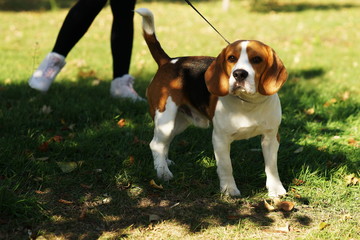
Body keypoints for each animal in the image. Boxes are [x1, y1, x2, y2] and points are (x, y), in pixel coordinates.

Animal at [136, 8, 288, 198]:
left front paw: (276, 189)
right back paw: (163, 172)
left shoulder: (270, 137)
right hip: (165, 119)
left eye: (257, 59)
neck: (248, 104)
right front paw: (229, 190)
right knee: (155, 144)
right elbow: (226, 166)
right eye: (231, 58)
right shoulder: (220, 139)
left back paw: (166, 162)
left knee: (163, 144)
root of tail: (169, 61)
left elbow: (272, 167)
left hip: (179, 123)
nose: (239, 74)